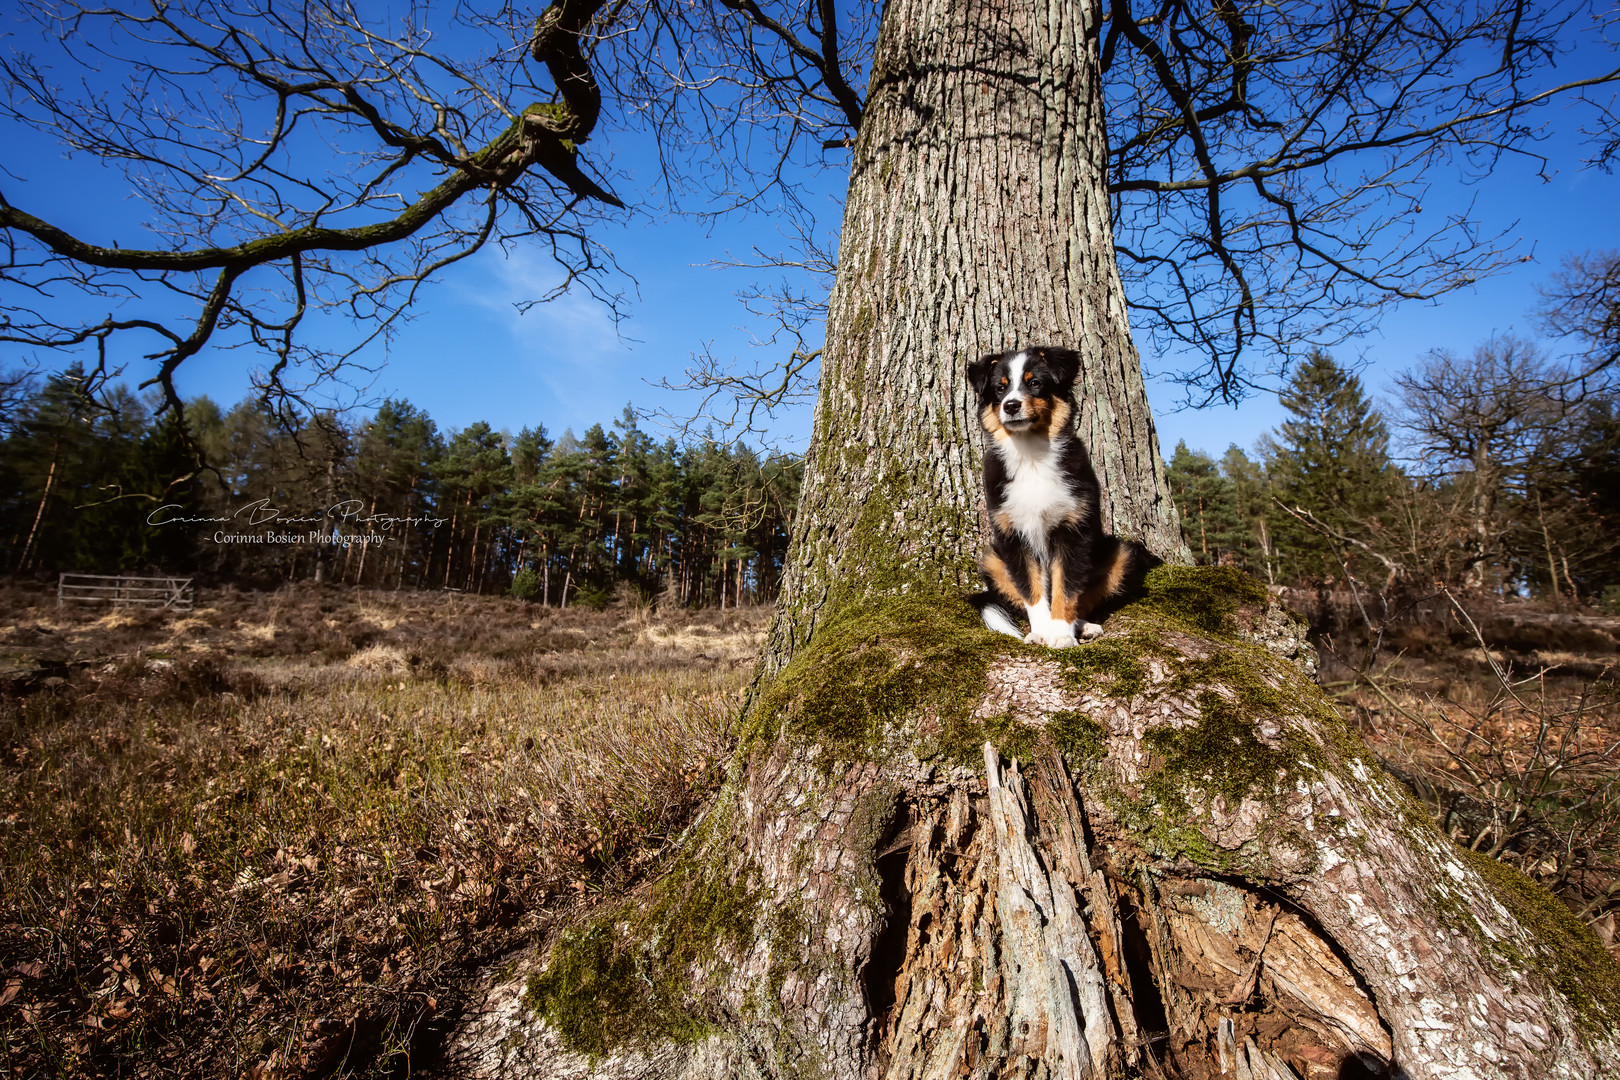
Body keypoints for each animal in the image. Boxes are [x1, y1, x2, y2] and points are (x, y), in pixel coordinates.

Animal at [965, 351, 1159, 647]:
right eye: (1000, 388)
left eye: (1035, 383)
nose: (1011, 405)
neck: (1031, 455)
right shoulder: (1012, 535)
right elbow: (1031, 591)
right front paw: (1042, 632)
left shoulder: (1072, 530)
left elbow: (1066, 589)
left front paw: (1062, 635)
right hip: (992, 561)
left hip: (1121, 554)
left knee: (1086, 597)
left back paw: (1084, 626)